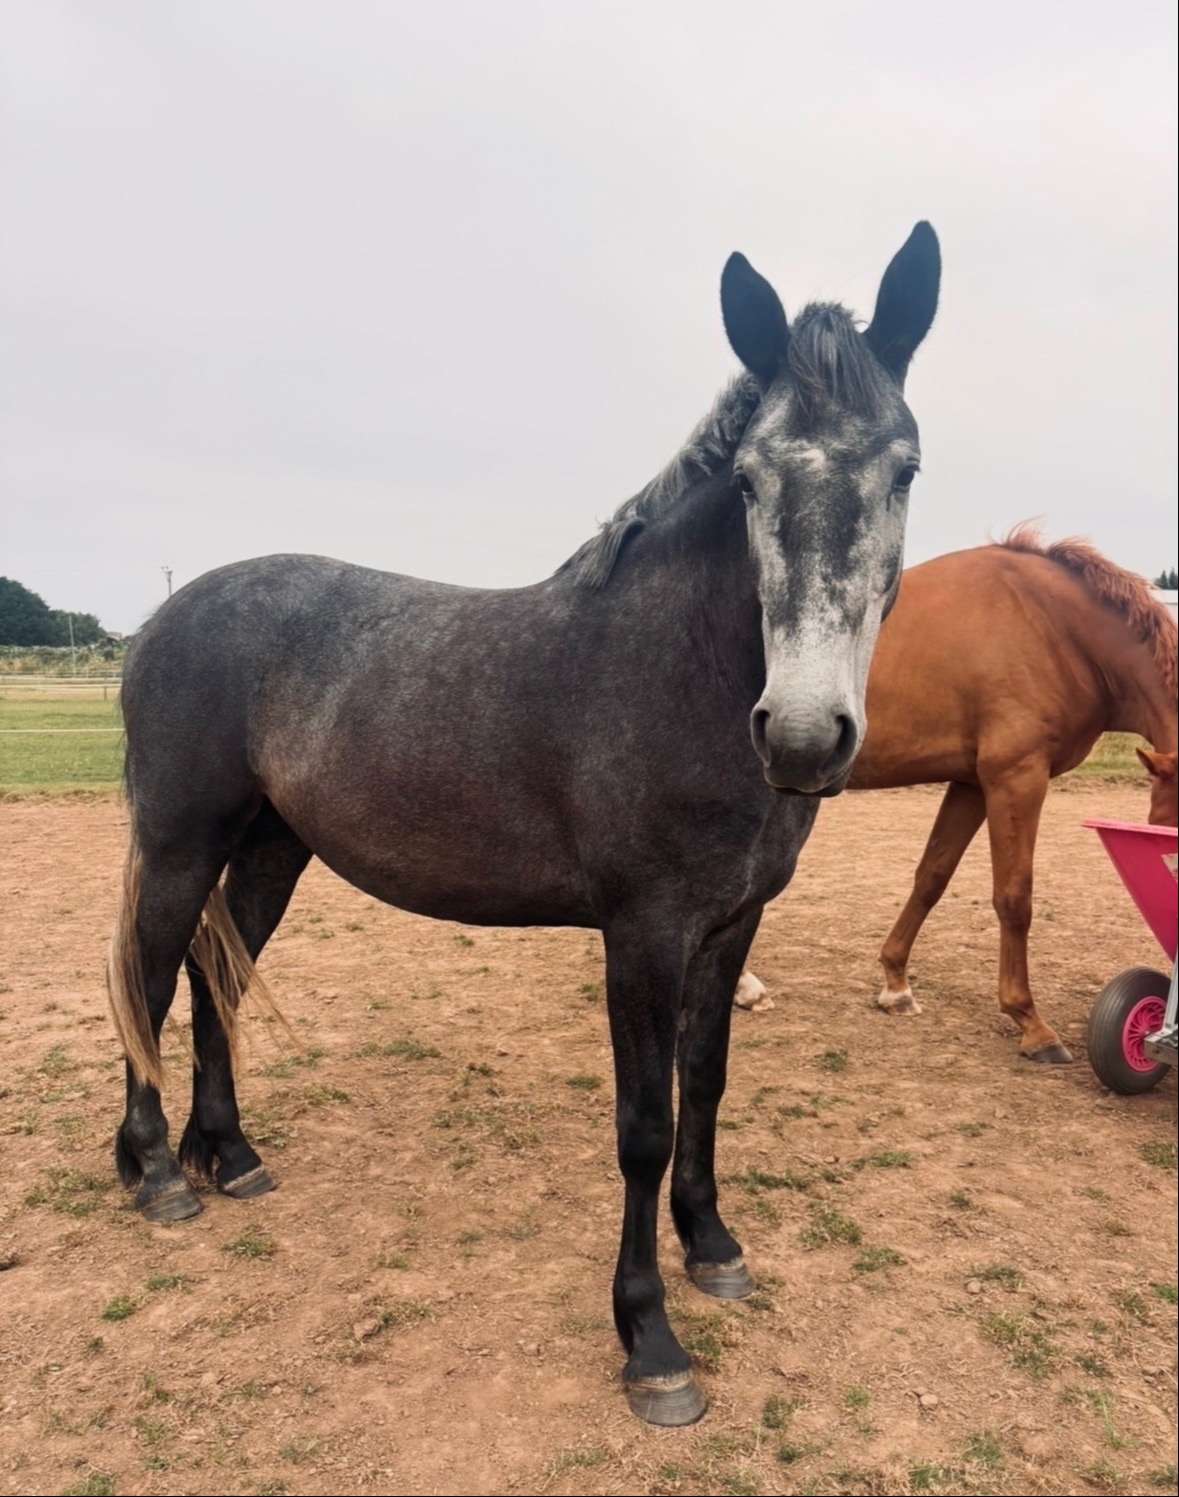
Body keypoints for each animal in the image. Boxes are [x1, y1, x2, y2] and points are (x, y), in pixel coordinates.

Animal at [106, 224, 940, 1426]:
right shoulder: (642, 934)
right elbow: (644, 1126)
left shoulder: (730, 927)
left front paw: (714, 1247)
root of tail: (161, 618)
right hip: (182, 842)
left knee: (219, 977)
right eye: (749, 477)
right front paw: (652, 1343)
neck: (679, 669)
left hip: (270, 848)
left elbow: (707, 1087)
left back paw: (230, 1154)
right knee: (155, 977)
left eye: (903, 467)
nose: (801, 735)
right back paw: (158, 1173)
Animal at [737, 531, 1178, 1064]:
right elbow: (1014, 897)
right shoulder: (1017, 778)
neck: (1053, 628)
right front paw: (1031, 1023)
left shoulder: (971, 785)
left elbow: (932, 876)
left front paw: (896, 985)